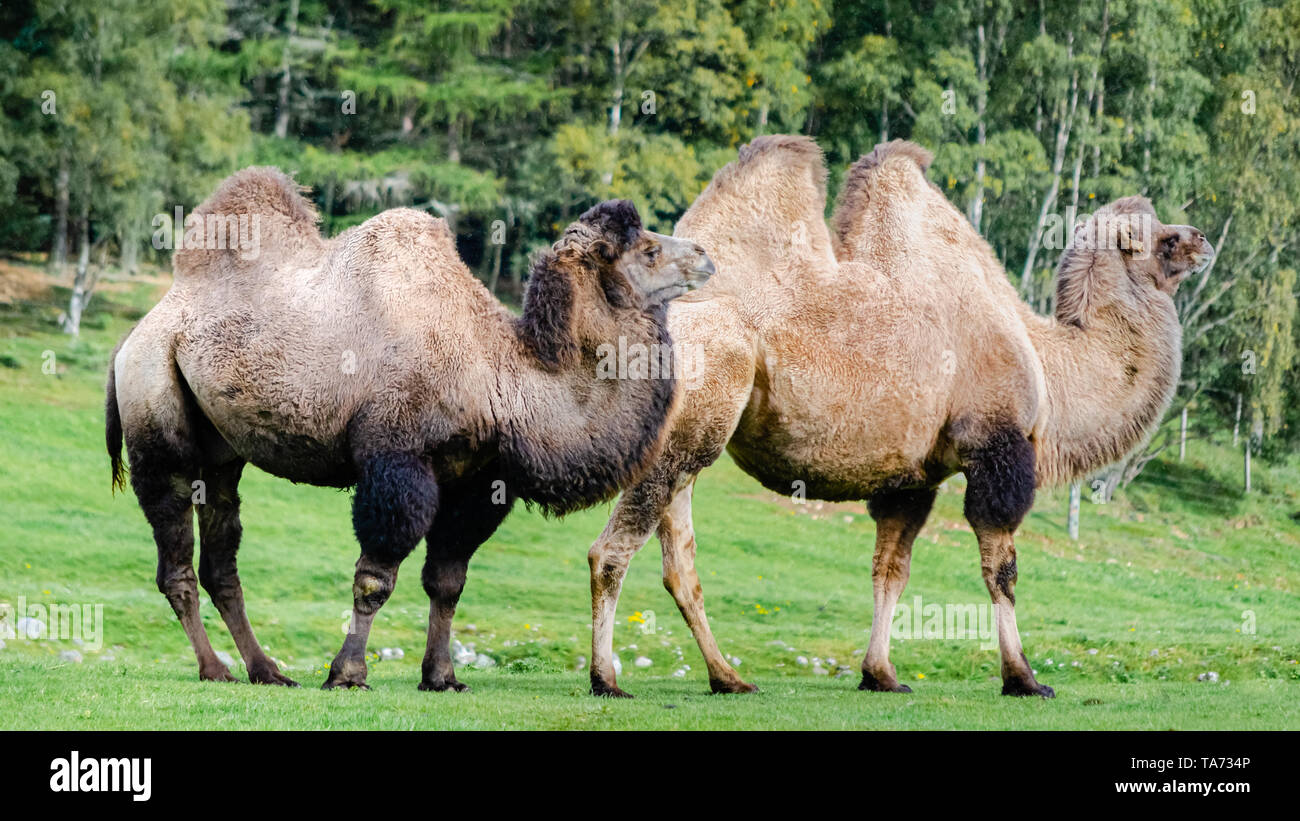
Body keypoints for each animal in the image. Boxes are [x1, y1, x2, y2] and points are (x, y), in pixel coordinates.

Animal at [106, 166, 717, 691]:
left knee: (221, 557)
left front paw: (441, 676)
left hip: (221, 451)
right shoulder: (397, 461)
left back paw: (266, 670)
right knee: (175, 557)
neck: (500, 373)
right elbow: (375, 577)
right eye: (649, 249)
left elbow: (447, 580)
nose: (705, 256)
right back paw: (215, 669)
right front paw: (348, 673)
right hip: (155, 406)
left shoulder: (477, 480)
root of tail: (138, 332)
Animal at [585, 136, 1211, 701]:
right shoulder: (996, 448)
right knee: (612, 550)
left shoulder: (912, 476)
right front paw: (1024, 679)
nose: (1202, 238)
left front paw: (880, 674)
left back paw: (729, 678)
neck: (1046, 359)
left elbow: (891, 569)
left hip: (693, 435)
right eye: (1163, 237)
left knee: (679, 562)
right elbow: (1002, 569)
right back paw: (607, 679)